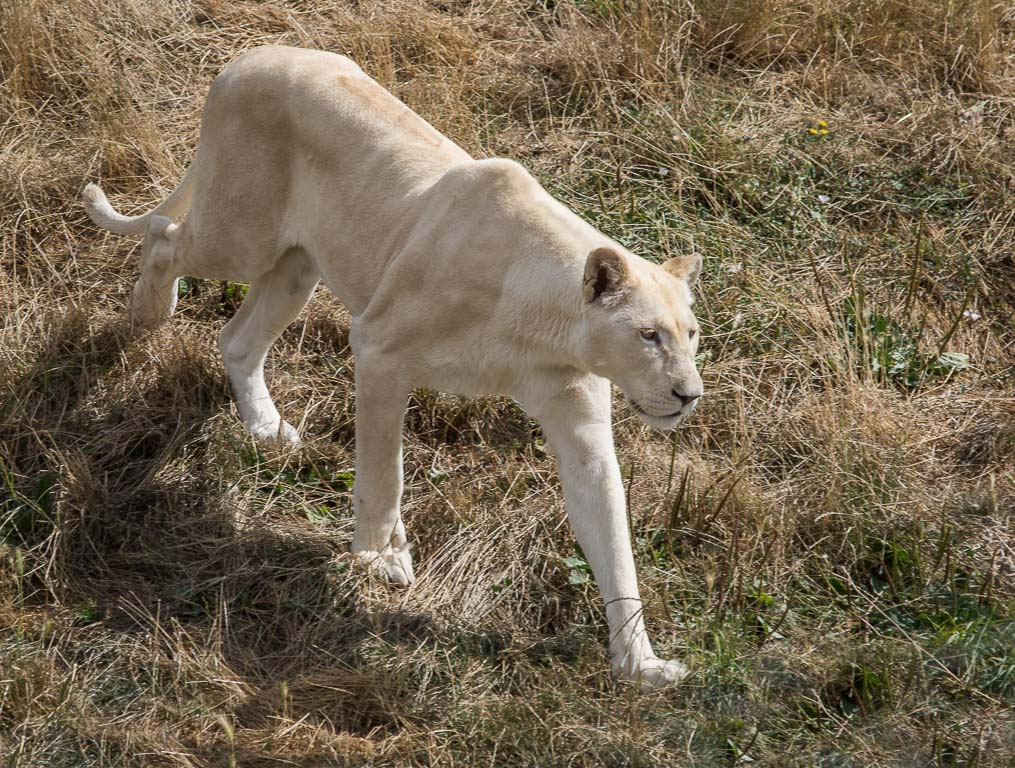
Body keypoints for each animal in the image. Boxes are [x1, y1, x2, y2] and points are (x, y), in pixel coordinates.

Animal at [81, 44, 706, 685]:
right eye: (649, 336)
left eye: (691, 335)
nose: (689, 396)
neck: (547, 329)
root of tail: (257, 52)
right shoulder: (378, 350)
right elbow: (385, 471)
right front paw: (381, 557)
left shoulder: (578, 424)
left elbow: (612, 536)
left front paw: (641, 665)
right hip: (239, 234)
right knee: (164, 237)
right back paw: (148, 314)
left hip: (297, 267)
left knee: (235, 339)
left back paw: (266, 427)